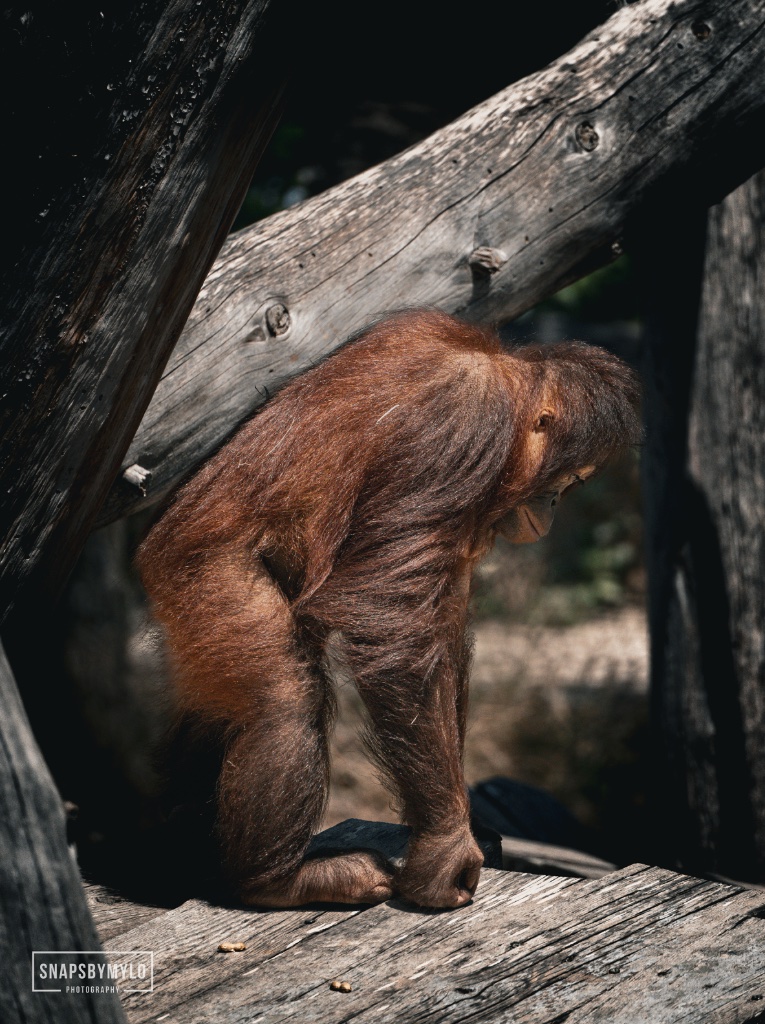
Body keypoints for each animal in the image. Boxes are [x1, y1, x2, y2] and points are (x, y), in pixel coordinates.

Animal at [137, 308, 640, 909]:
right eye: (570, 481)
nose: (554, 508)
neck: (505, 376)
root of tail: (153, 557)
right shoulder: (464, 427)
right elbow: (390, 608)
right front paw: (448, 851)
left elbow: (440, 620)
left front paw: (463, 825)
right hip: (210, 573)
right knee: (284, 698)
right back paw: (275, 881)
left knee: (217, 702)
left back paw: (184, 856)